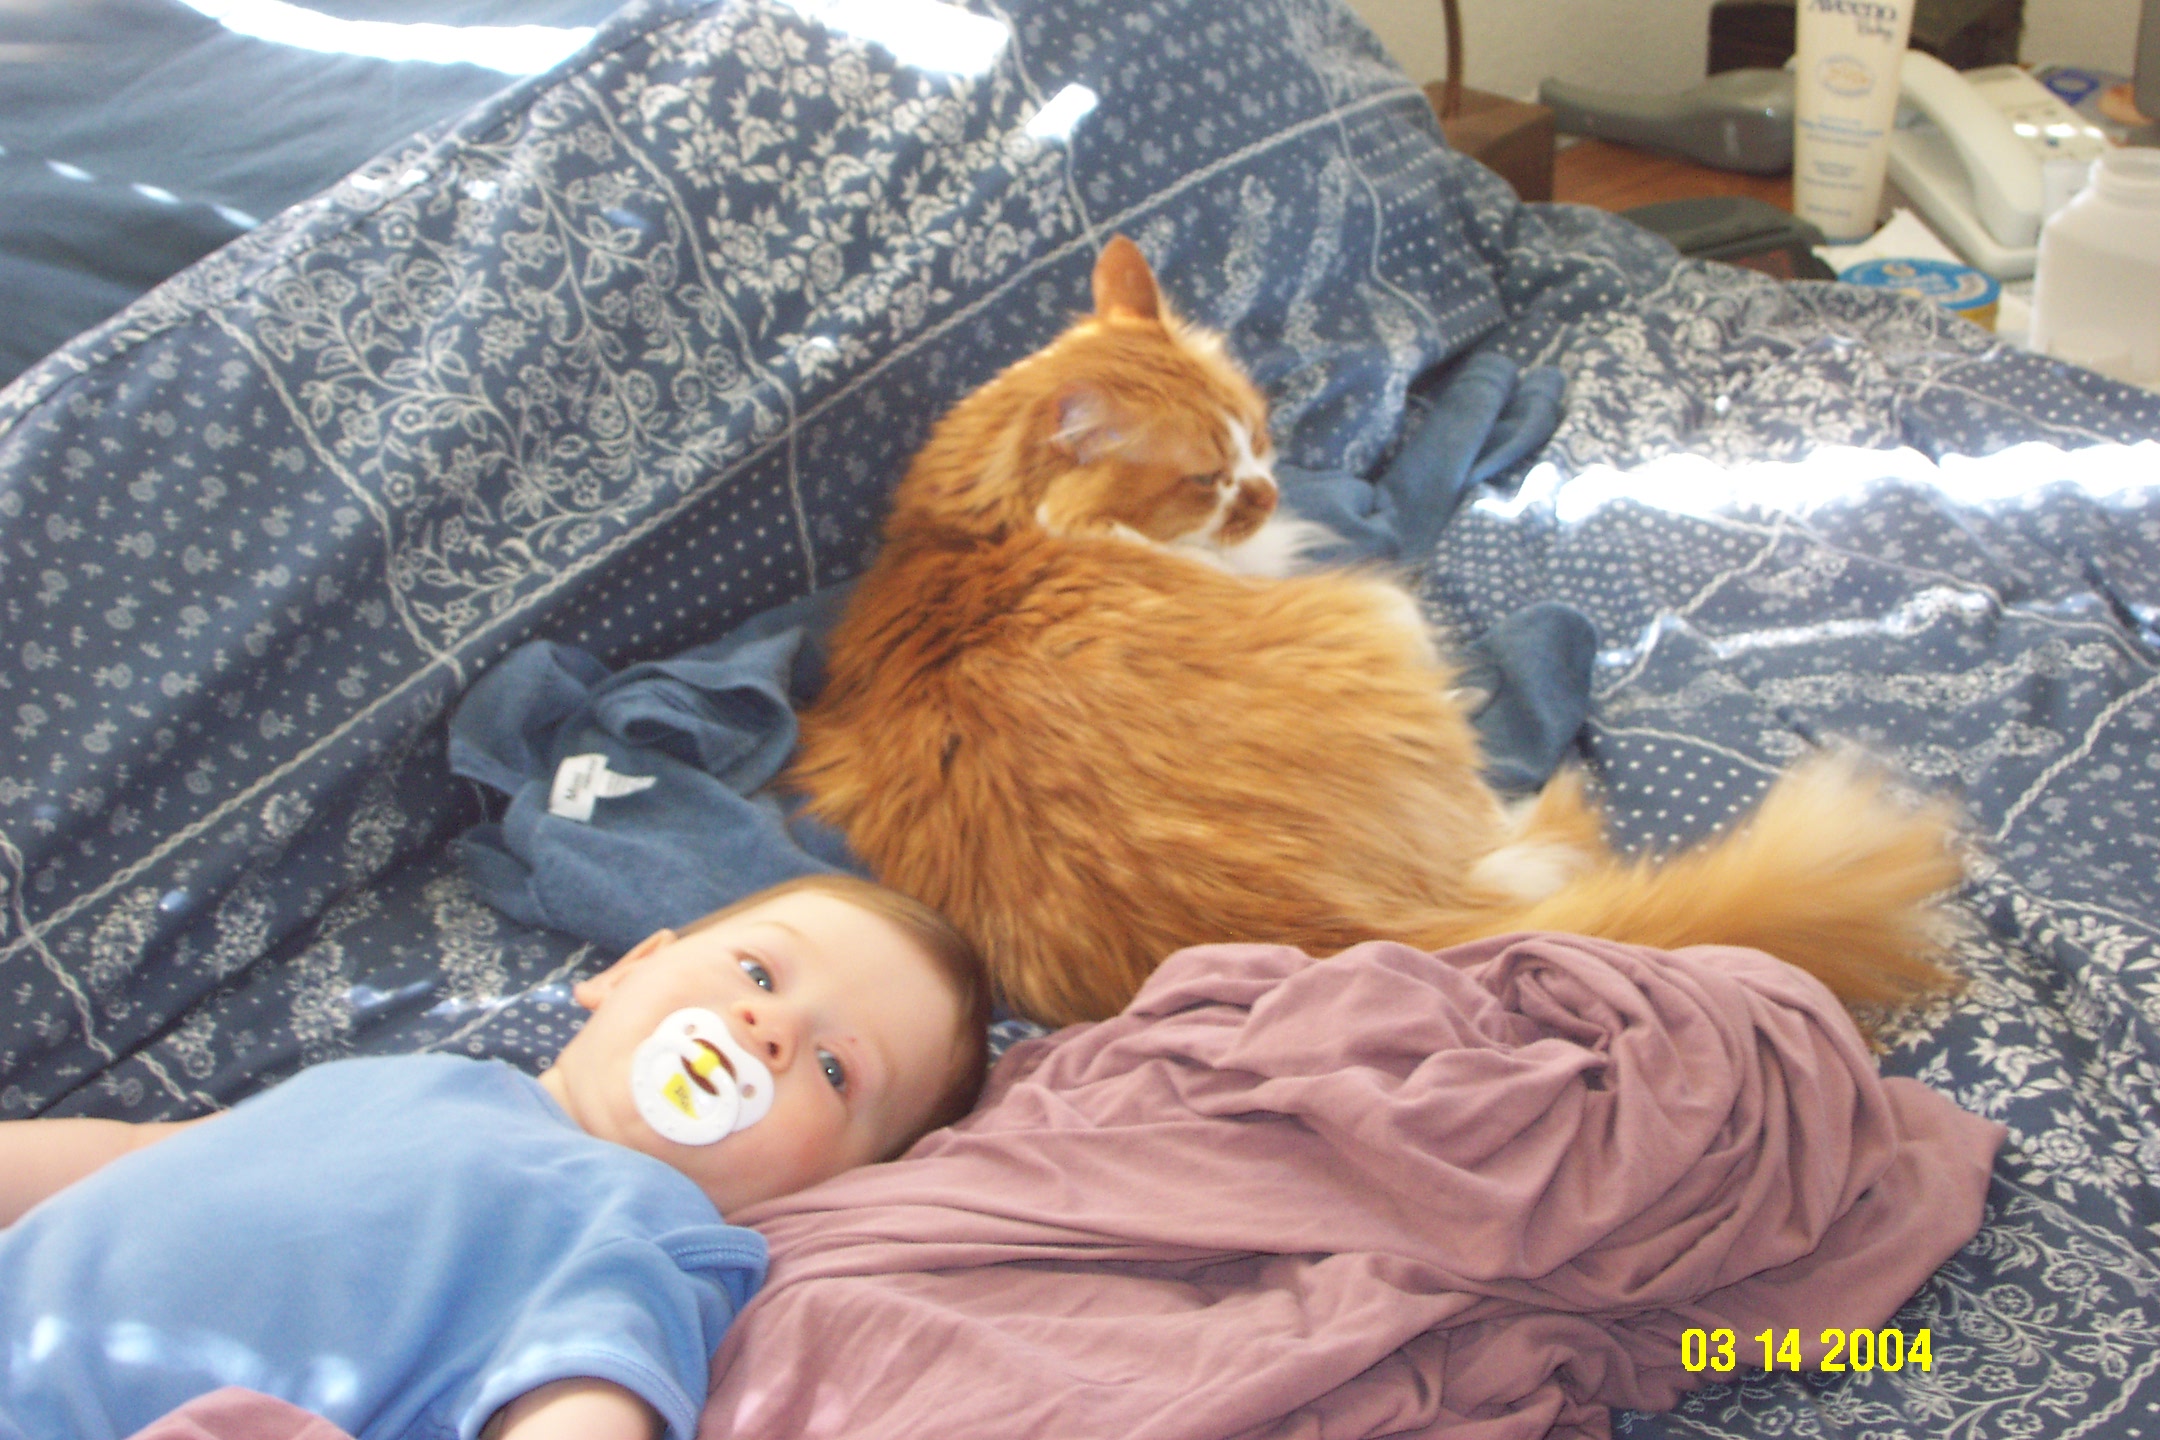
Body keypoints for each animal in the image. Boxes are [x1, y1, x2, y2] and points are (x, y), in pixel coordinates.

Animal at [786, 235, 1964, 1028]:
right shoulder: (1350, 553)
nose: (1267, 487)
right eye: (1207, 480)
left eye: (1257, 432)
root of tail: (1334, 938)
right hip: (1379, 615)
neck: (975, 535)